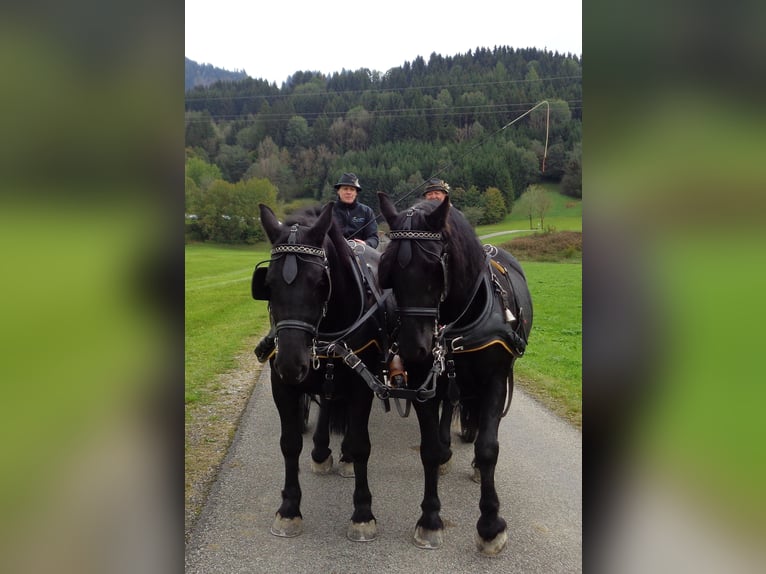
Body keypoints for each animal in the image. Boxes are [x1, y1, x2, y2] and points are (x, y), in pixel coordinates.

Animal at [258, 202, 392, 544]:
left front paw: (363, 514)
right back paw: (321, 452)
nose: (291, 363)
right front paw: (289, 509)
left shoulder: (362, 384)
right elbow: (290, 442)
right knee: (328, 401)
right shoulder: (282, 385)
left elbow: (360, 444)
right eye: (267, 284)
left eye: (321, 282)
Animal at [378, 195, 536, 560]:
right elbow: (429, 449)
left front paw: (491, 526)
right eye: (389, 269)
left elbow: (489, 447)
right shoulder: (422, 382)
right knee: (450, 404)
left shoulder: (494, 381)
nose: (414, 349)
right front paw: (429, 519)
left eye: (434, 266)